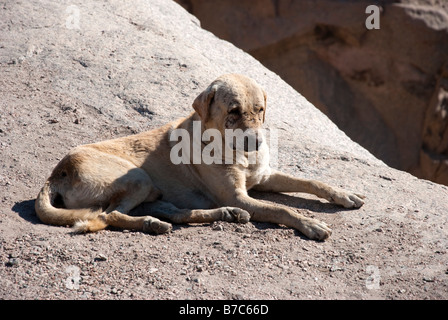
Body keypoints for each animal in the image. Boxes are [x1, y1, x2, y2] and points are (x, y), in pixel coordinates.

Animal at [35, 74, 364, 240]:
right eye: (233, 111)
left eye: (259, 109)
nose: (257, 143)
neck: (235, 151)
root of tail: (56, 174)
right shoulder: (241, 195)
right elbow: (280, 209)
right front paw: (310, 224)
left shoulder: (264, 176)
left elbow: (311, 182)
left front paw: (343, 194)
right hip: (137, 177)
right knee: (109, 215)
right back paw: (152, 224)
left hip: (153, 192)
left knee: (176, 213)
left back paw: (221, 215)